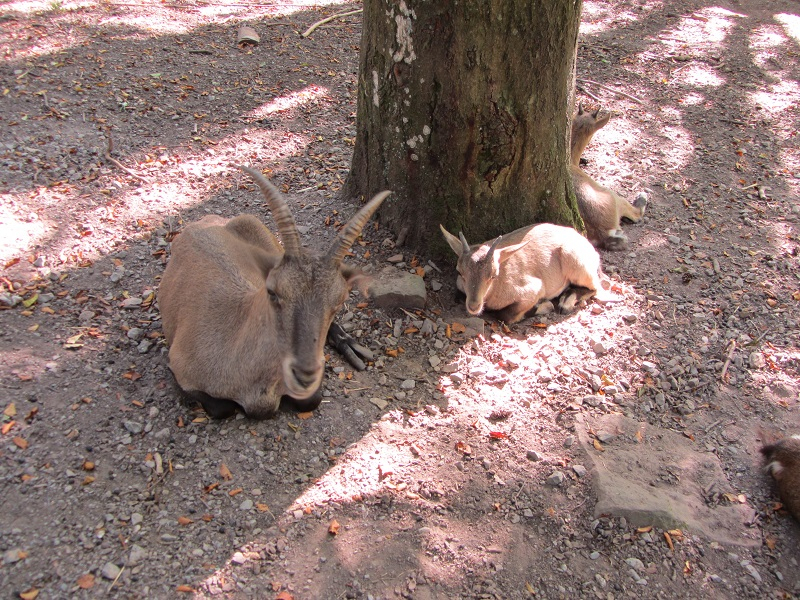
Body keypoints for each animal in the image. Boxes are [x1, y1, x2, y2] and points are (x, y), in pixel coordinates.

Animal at [157, 164, 390, 418]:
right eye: (273, 292)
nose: (305, 374)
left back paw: (351, 347)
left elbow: (312, 399)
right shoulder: (179, 366)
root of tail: (204, 222)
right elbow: (222, 408)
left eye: (339, 302)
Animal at [438, 223, 620, 324]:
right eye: (460, 271)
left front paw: (544, 305)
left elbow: (506, 315)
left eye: (493, 275)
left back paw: (565, 302)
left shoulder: (533, 289)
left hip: (575, 261)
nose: (474, 306)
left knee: (596, 287)